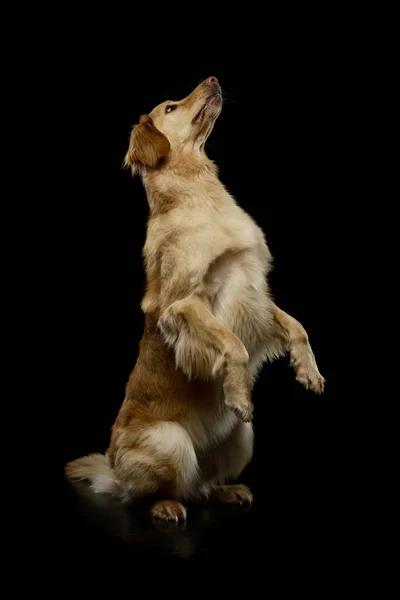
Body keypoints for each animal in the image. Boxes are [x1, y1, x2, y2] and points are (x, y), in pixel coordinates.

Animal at [64, 78, 324, 520]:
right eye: (170, 107)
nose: (214, 79)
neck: (199, 192)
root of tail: (114, 471)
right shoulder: (185, 303)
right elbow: (233, 345)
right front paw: (240, 394)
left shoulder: (253, 289)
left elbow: (296, 325)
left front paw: (308, 371)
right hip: (170, 440)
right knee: (150, 492)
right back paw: (166, 506)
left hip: (242, 438)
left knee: (200, 485)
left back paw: (226, 491)